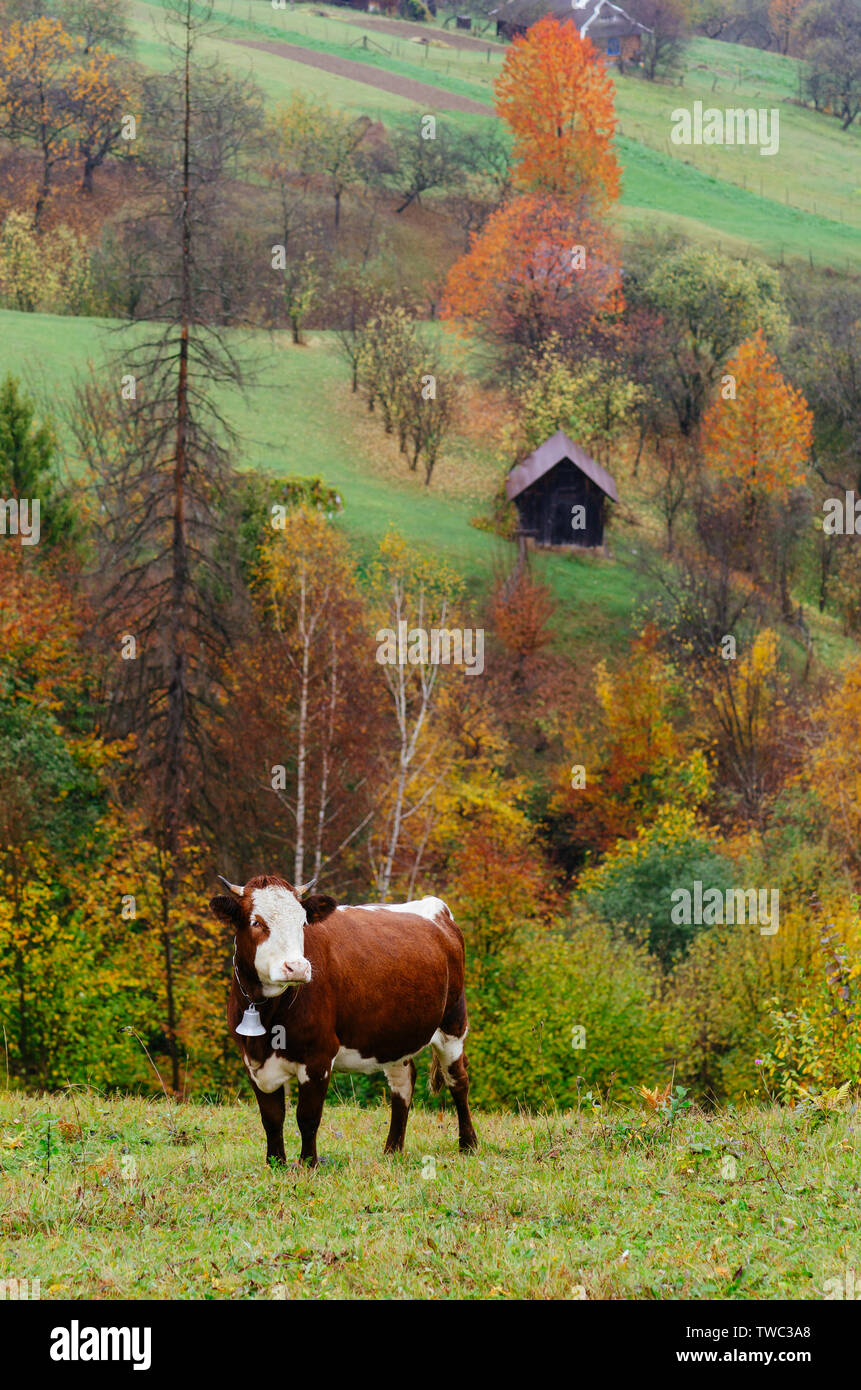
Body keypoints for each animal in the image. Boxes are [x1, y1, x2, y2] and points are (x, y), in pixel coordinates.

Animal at [208, 878, 478, 1162]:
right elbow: (271, 1118)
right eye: (256, 922)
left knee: (458, 1080)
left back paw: (468, 1144)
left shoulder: (318, 1056)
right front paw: (276, 1163)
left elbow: (307, 1117)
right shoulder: (252, 1059)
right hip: (395, 1035)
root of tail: (436, 907)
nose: (297, 967)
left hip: (453, 1022)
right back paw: (392, 1150)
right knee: (403, 1083)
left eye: (303, 922)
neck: (268, 1014)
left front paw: (308, 1164)